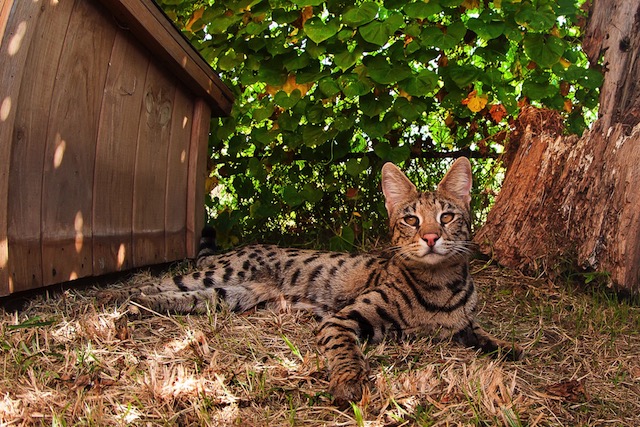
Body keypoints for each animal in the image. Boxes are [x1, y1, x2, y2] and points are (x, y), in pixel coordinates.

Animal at [99, 159, 520, 406]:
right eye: (411, 220)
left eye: (447, 217)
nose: (431, 237)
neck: (441, 284)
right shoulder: (342, 319)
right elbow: (347, 352)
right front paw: (349, 382)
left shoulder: (461, 327)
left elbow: (481, 334)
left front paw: (508, 347)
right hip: (223, 272)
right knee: (163, 279)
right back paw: (117, 301)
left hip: (230, 296)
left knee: (184, 298)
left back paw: (143, 305)